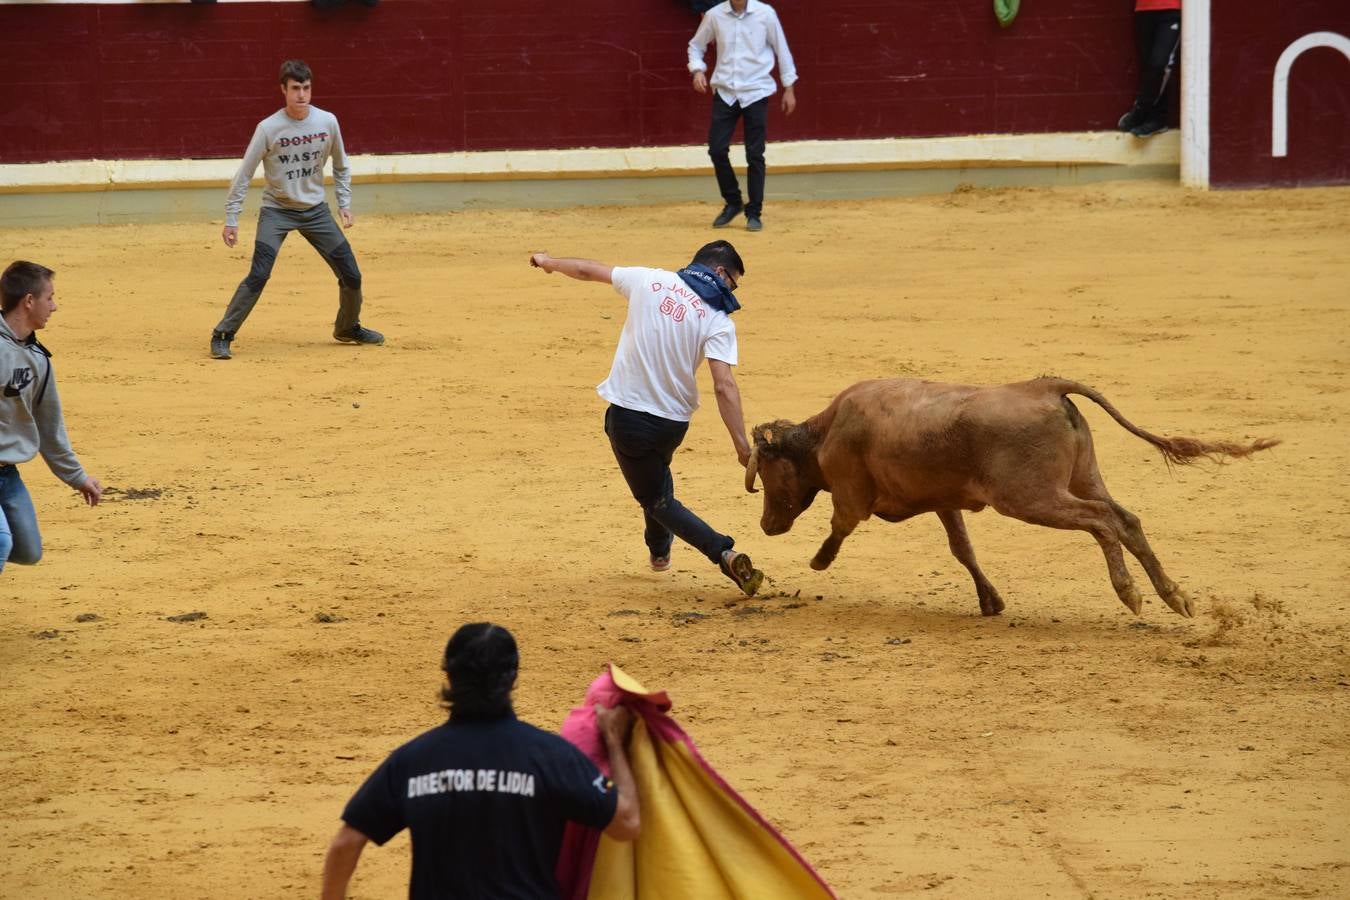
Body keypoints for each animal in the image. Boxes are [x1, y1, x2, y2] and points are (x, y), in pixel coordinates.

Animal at [745, 377, 1279, 615]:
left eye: (766, 474)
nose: (766, 526)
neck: (826, 432)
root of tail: (1044, 387)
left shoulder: (853, 495)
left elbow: (840, 524)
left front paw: (819, 561)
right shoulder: (945, 501)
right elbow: (962, 549)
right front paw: (991, 600)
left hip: (1032, 498)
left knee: (1101, 520)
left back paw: (1130, 592)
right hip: (1083, 477)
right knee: (1127, 519)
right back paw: (1174, 596)